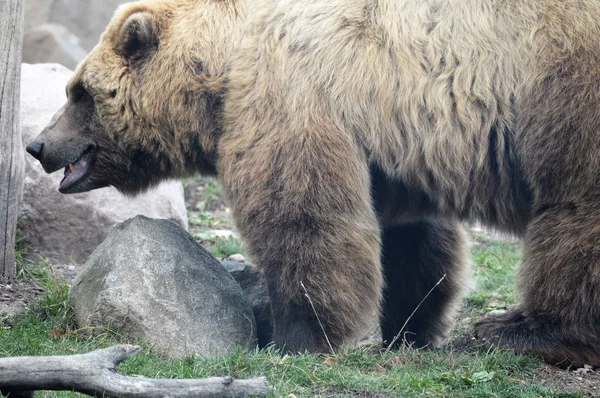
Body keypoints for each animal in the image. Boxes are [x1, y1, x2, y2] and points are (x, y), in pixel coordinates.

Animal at [28, 0, 600, 366]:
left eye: (78, 91)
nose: (37, 145)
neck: (222, 70)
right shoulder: (387, 144)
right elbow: (411, 237)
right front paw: (409, 326)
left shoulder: (290, 93)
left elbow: (305, 219)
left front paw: (295, 337)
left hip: (562, 86)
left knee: (575, 216)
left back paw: (523, 330)